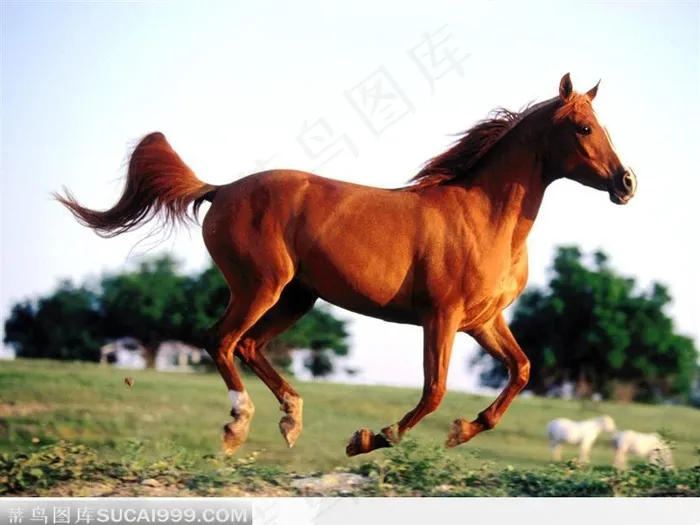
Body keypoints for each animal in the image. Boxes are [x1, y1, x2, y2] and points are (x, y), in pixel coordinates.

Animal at [54, 73, 637, 457]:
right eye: (584, 128)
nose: (627, 183)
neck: (484, 216)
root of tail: (220, 190)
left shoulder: (484, 321)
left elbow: (521, 370)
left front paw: (461, 430)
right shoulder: (442, 317)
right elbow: (434, 390)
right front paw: (373, 438)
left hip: (297, 296)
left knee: (248, 345)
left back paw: (291, 421)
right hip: (260, 286)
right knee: (221, 340)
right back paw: (238, 426)